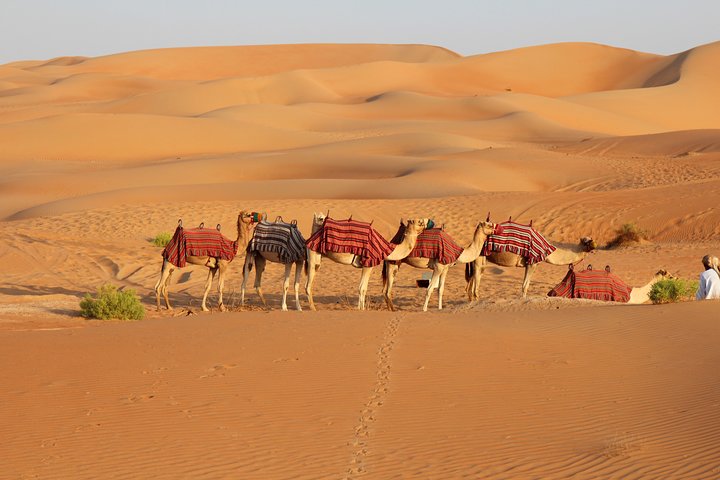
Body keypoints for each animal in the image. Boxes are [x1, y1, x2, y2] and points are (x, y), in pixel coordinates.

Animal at [466, 236, 596, 300]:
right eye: (586, 241)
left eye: (590, 239)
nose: (594, 245)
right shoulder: (532, 263)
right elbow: (524, 286)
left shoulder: (532, 264)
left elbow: (526, 284)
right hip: (479, 257)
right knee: (476, 279)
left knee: (472, 280)